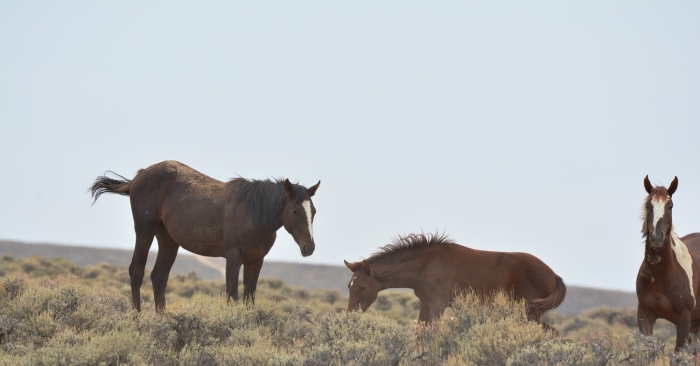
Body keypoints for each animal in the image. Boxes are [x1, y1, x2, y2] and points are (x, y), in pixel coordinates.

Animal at [89, 161, 322, 312]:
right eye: (295, 211)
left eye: (313, 211)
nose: (309, 248)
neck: (253, 215)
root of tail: (139, 175)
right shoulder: (233, 259)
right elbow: (232, 297)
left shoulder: (255, 262)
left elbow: (249, 300)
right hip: (144, 232)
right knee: (136, 272)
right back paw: (137, 318)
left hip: (168, 240)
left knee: (159, 277)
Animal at [342, 233, 568, 324]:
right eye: (349, 286)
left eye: (362, 287)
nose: (350, 314)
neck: (426, 263)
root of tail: (554, 275)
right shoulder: (426, 304)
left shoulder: (438, 304)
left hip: (530, 314)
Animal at [636, 176, 700, 354]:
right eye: (648, 205)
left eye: (670, 206)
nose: (656, 238)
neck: (661, 274)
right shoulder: (645, 314)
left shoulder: (683, 320)